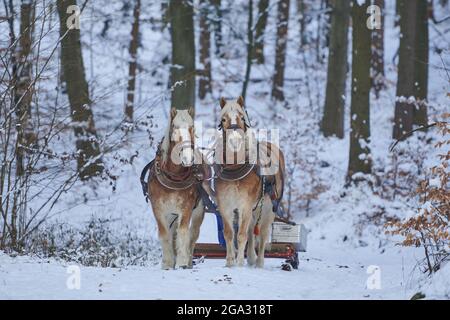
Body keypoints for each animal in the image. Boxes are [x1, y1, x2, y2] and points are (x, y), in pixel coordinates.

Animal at [147, 108, 208, 270]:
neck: (173, 177)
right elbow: (165, 234)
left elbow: (183, 233)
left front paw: (181, 262)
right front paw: (168, 263)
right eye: (175, 127)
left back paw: (188, 261)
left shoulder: (186, 208)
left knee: (192, 235)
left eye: (192, 127)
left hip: (198, 211)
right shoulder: (158, 209)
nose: (188, 158)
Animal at [214, 95, 284, 268]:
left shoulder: (245, 204)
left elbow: (241, 234)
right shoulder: (225, 204)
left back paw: (259, 262)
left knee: (263, 233)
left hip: (268, 208)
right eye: (223, 119)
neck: (235, 168)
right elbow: (229, 233)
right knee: (253, 230)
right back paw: (251, 258)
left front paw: (239, 263)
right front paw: (230, 261)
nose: (234, 141)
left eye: (241, 117)